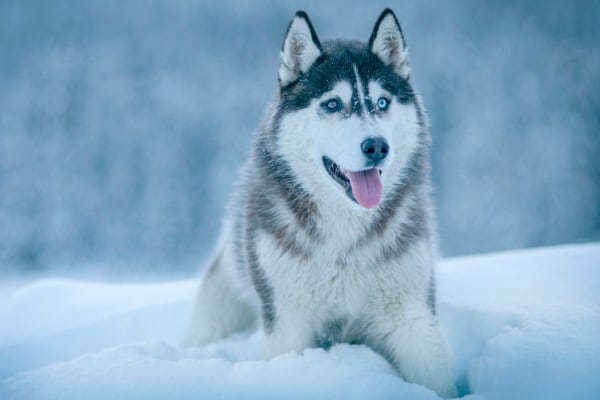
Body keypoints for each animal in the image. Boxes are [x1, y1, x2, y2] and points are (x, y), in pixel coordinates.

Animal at [185, 8, 458, 396]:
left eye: (382, 102)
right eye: (332, 104)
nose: (377, 145)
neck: (344, 238)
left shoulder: (412, 314)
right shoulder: (288, 322)